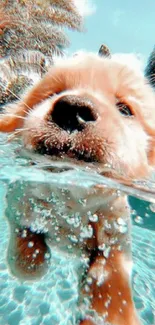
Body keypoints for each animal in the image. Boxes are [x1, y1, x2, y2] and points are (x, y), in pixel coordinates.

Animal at [0, 48, 155, 324]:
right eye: (53, 92)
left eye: (125, 109)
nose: (73, 109)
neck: (72, 196)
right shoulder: (17, 200)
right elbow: (27, 259)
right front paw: (32, 257)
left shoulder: (116, 229)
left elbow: (112, 278)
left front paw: (111, 310)